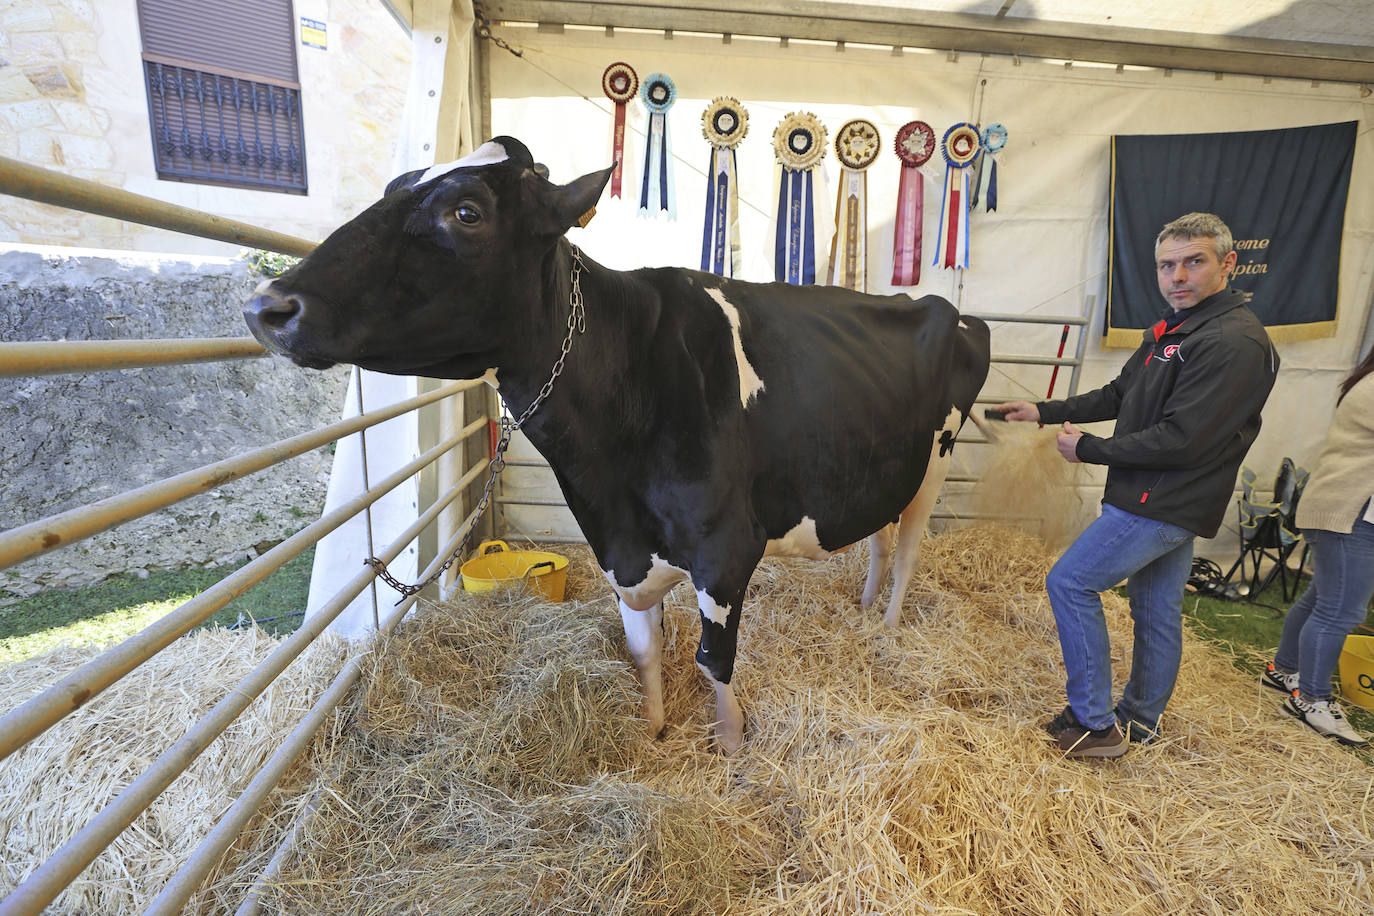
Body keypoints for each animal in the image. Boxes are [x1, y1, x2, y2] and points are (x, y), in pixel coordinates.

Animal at [247, 135, 994, 752]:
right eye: (392, 187)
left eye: (467, 212)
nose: (267, 305)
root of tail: (939, 306)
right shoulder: (619, 552)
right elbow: (644, 653)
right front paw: (654, 730)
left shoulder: (726, 549)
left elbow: (712, 659)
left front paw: (730, 743)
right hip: (881, 465)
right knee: (878, 537)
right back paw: (866, 608)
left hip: (937, 462)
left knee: (909, 551)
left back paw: (888, 626)